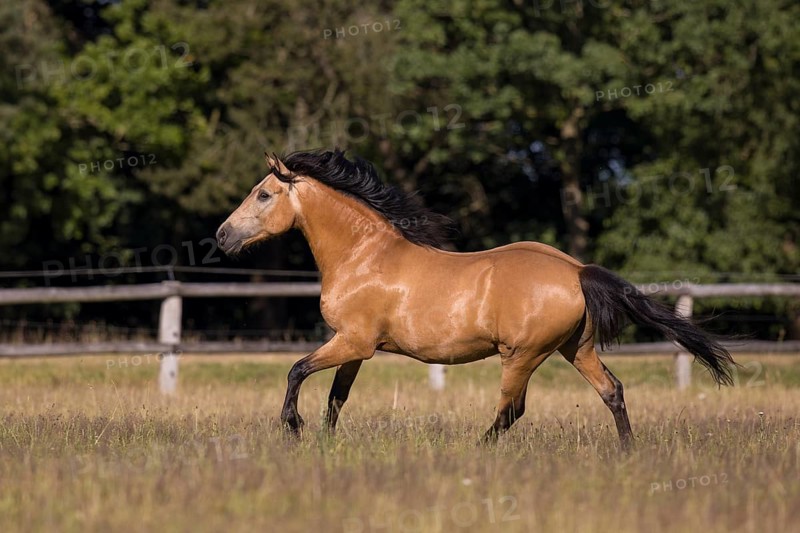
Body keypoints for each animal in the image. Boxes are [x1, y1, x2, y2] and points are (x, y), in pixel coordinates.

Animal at [216, 149, 735, 448]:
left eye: (263, 195)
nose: (221, 236)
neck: (363, 256)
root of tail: (575, 270)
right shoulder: (354, 347)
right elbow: (336, 398)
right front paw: (324, 443)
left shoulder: (353, 342)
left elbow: (296, 370)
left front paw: (293, 428)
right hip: (575, 348)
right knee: (612, 391)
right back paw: (627, 452)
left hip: (523, 355)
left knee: (511, 409)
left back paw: (477, 449)